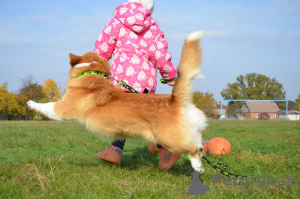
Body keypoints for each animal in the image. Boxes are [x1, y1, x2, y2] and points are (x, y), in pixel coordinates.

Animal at [27, 30, 207, 173]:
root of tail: (174, 100)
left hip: (168, 139)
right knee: (199, 143)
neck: (91, 72)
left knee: (192, 150)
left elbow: (46, 106)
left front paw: (31, 103)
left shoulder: (62, 108)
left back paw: (197, 166)